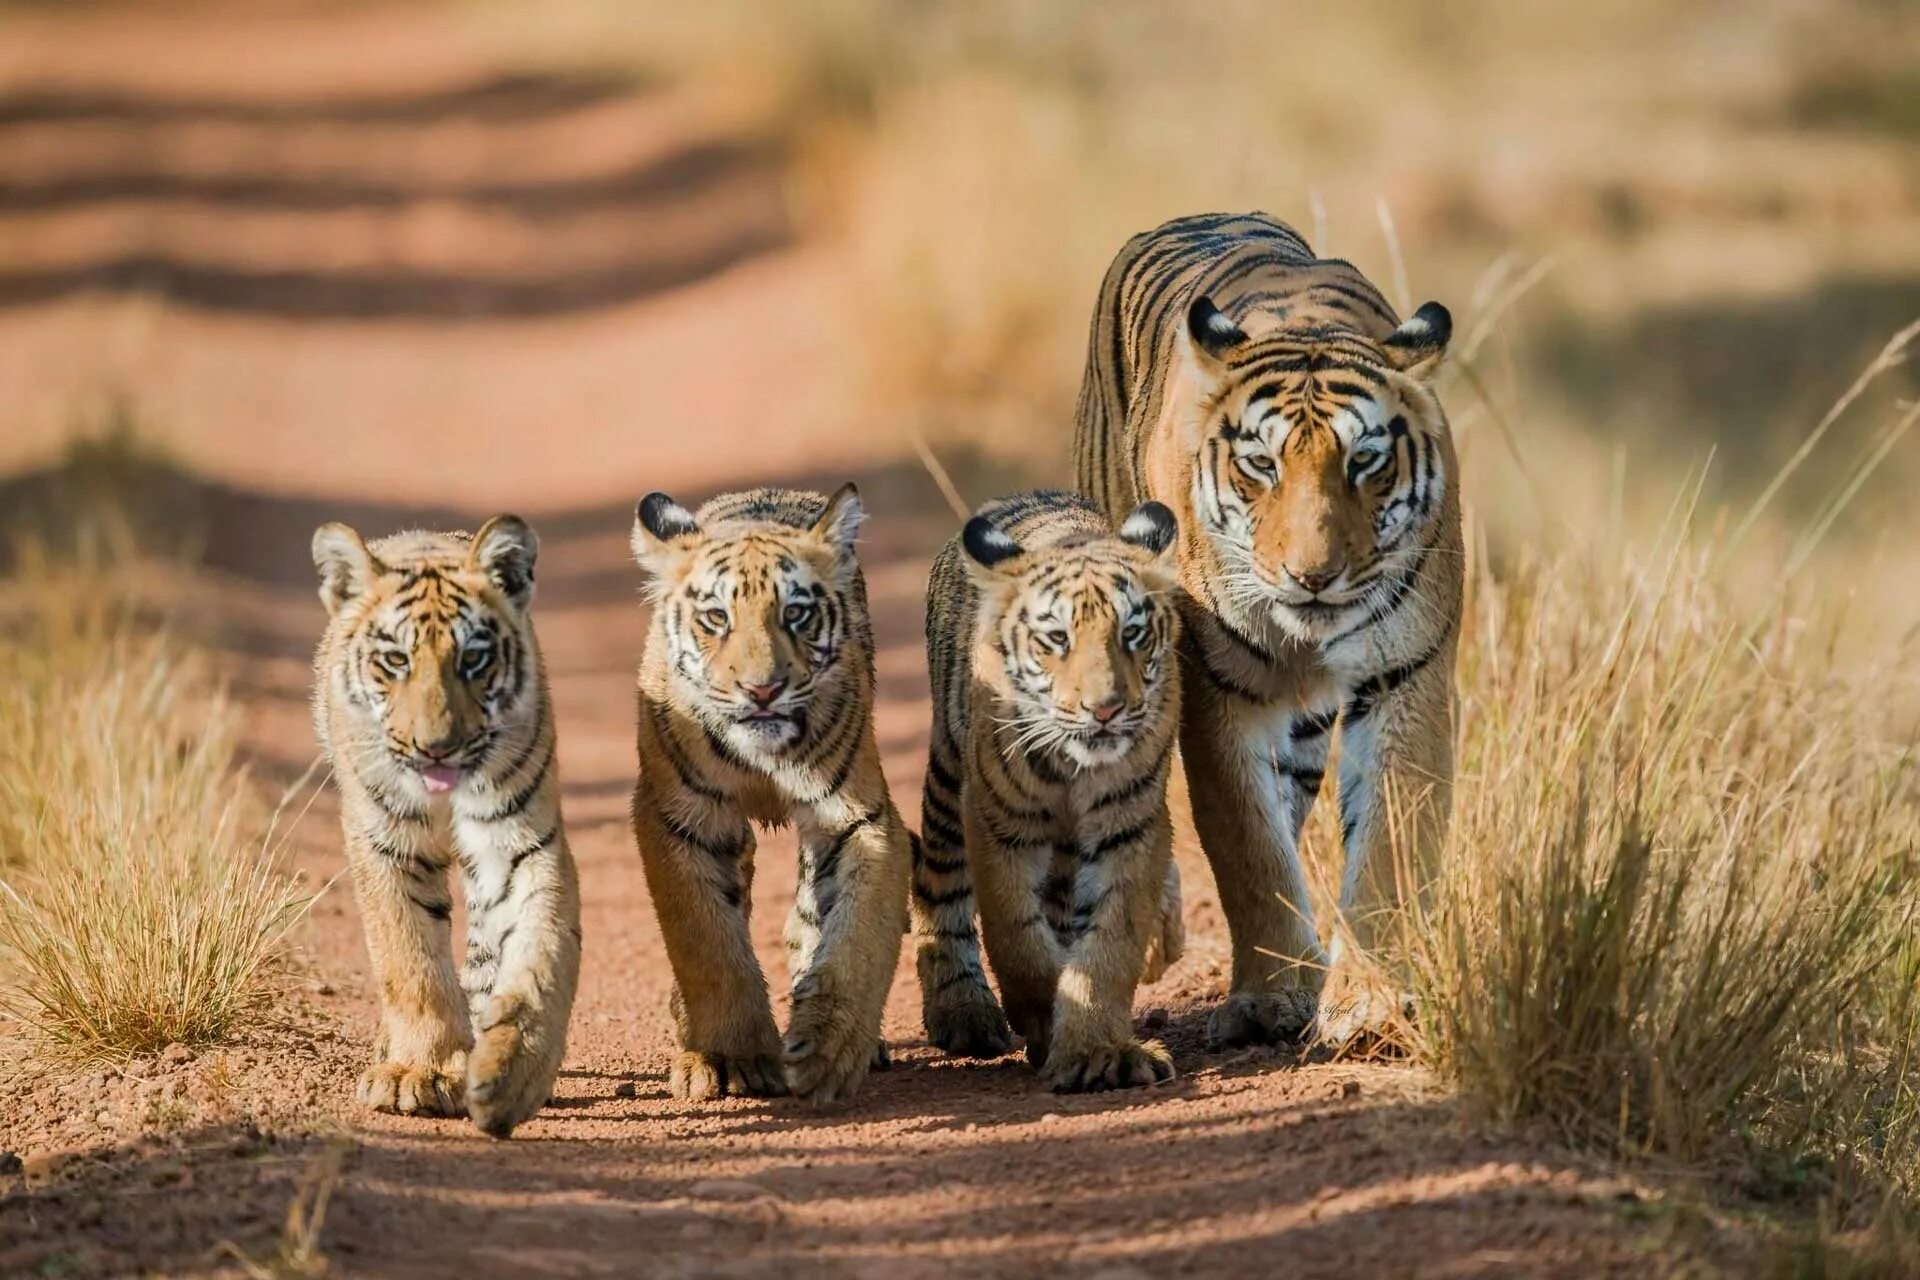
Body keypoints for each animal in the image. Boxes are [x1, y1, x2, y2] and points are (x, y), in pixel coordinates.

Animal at [310, 516, 581, 1138]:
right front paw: (422, 1072)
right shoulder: (387, 843)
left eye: (473, 659)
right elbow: (410, 958)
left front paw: (514, 1072)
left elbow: (541, 950)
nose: (437, 747)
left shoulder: (520, 841)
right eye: (395, 661)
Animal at [629, 484, 911, 1105]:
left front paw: (830, 1051)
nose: (762, 690)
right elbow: (707, 943)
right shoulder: (679, 820)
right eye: (716, 617)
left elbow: (856, 935)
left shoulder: (857, 819)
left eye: (796, 614)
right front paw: (730, 1056)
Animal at [911, 489, 1184, 1090]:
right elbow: (1017, 939)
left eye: (1132, 633)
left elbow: (1109, 943)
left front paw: (1096, 1051)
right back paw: (963, 1013)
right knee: (938, 886)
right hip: (947, 777)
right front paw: (1041, 1022)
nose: (1105, 709)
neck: (1072, 768)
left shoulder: (1130, 826)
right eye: (1057, 638)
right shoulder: (997, 822)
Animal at [1072, 211, 1462, 1046]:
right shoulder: (1220, 690)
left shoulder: (1406, 675)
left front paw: (1369, 999)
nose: (1312, 576)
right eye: (1261, 465)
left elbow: (1390, 837)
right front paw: (1272, 995)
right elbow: (1246, 846)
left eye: (1365, 461)